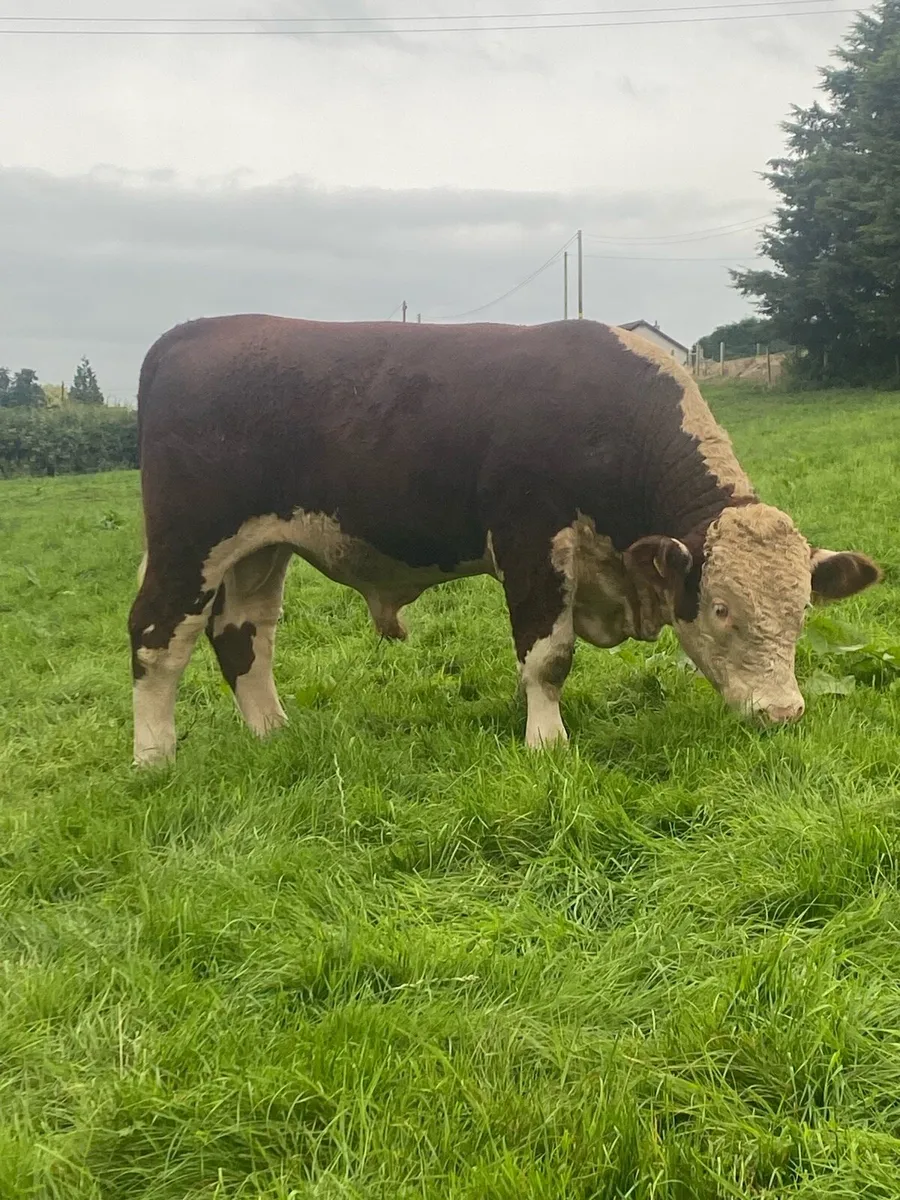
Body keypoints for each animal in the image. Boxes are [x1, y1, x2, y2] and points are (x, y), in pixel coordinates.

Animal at [129, 315, 881, 766]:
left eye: (803, 610)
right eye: (722, 610)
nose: (782, 712)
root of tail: (192, 333)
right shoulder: (531, 542)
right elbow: (548, 657)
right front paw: (546, 741)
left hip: (257, 550)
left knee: (242, 634)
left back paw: (273, 734)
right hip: (188, 542)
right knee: (157, 637)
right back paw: (154, 759)